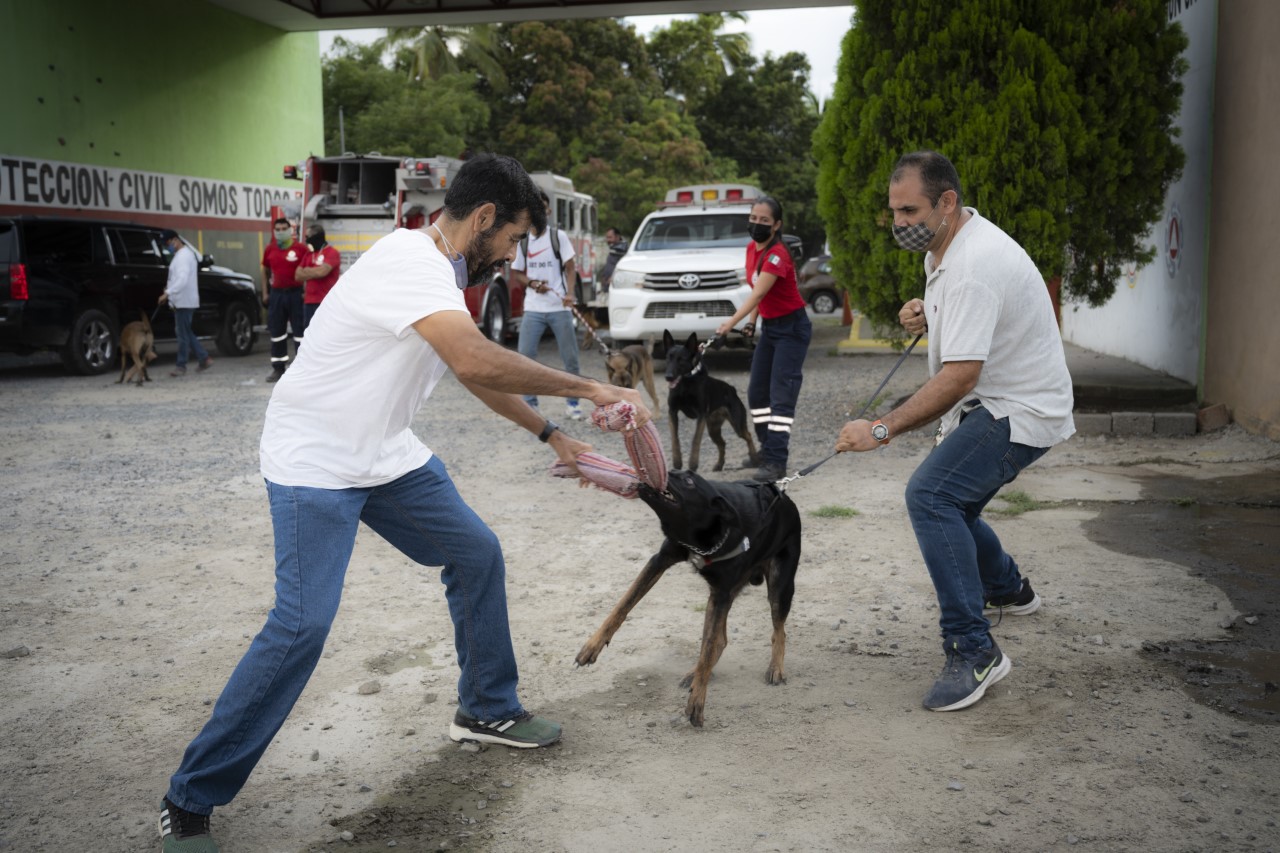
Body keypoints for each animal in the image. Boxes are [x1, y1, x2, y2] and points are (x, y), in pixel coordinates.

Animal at [573, 466, 793, 722]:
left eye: (689, 481)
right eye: (677, 471)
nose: (667, 470)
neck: (702, 533)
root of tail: (782, 495)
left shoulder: (722, 592)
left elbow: (707, 650)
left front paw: (697, 700)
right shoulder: (661, 560)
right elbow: (623, 604)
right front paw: (592, 646)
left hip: (779, 586)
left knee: (778, 630)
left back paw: (775, 668)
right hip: (717, 599)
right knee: (720, 640)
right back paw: (695, 673)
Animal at [665, 326, 752, 471]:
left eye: (681, 359)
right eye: (668, 358)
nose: (668, 377)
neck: (685, 383)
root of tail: (731, 389)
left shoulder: (701, 415)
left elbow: (695, 439)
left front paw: (693, 464)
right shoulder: (672, 412)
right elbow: (674, 438)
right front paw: (677, 461)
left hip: (736, 424)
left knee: (748, 436)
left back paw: (755, 459)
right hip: (713, 429)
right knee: (722, 443)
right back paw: (719, 464)